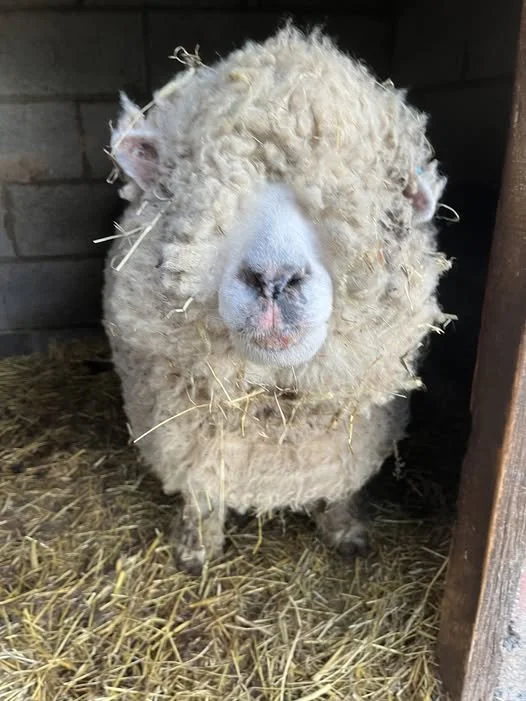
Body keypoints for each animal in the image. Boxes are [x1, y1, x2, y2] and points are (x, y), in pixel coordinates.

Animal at [102, 24, 452, 575]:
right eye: (199, 188)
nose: (272, 279)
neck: (272, 403)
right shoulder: (186, 443)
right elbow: (201, 490)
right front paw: (196, 546)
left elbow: (342, 488)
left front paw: (347, 531)